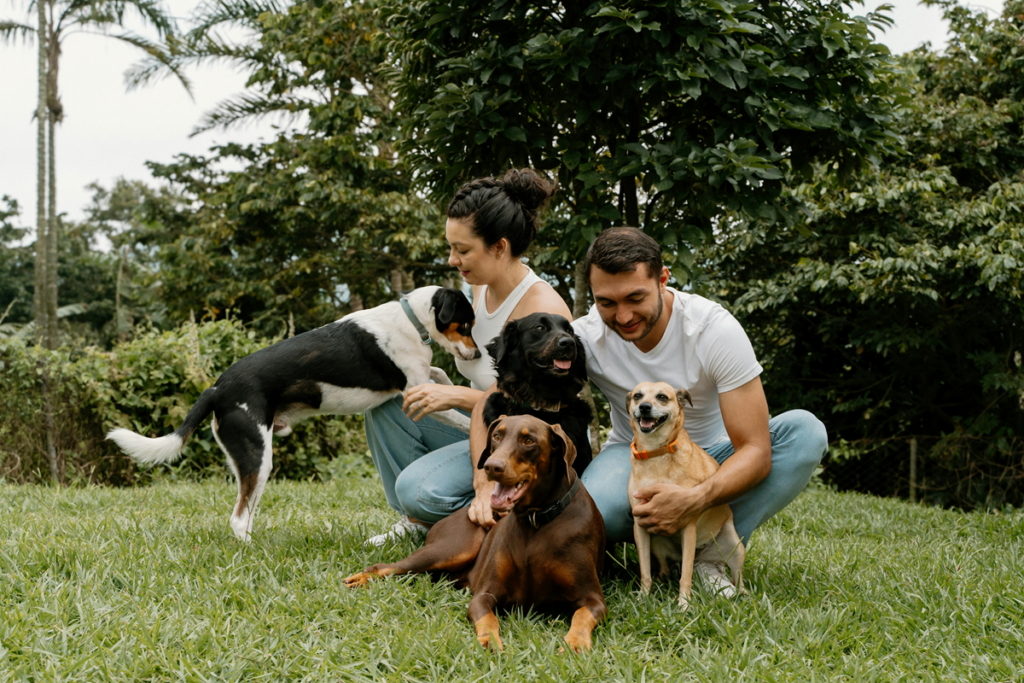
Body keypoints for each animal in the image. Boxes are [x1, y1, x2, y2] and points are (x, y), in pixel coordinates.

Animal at [110, 286, 477, 540]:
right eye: (465, 324)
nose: (476, 356)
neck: (412, 320)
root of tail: (216, 389)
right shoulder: (415, 392)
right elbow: (458, 415)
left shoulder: (424, 379)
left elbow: (441, 376)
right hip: (259, 457)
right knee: (239, 517)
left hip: (251, 463)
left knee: (246, 512)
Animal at [344, 413, 602, 655]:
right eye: (497, 436)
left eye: (529, 441)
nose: (491, 466)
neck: (535, 521)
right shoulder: (485, 594)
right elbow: (488, 618)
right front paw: (489, 640)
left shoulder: (593, 598)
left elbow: (581, 616)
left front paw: (575, 643)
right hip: (452, 549)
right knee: (385, 566)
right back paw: (360, 578)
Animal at [622, 382, 745, 610]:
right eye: (637, 396)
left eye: (662, 397)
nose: (644, 407)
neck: (656, 453)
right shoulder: (640, 526)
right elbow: (645, 572)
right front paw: (643, 597)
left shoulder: (688, 525)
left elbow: (685, 576)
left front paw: (684, 603)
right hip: (657, 542)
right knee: (663, 567)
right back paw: (661, 579)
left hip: (735, 546)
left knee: (737, 577)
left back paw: (743, 594)